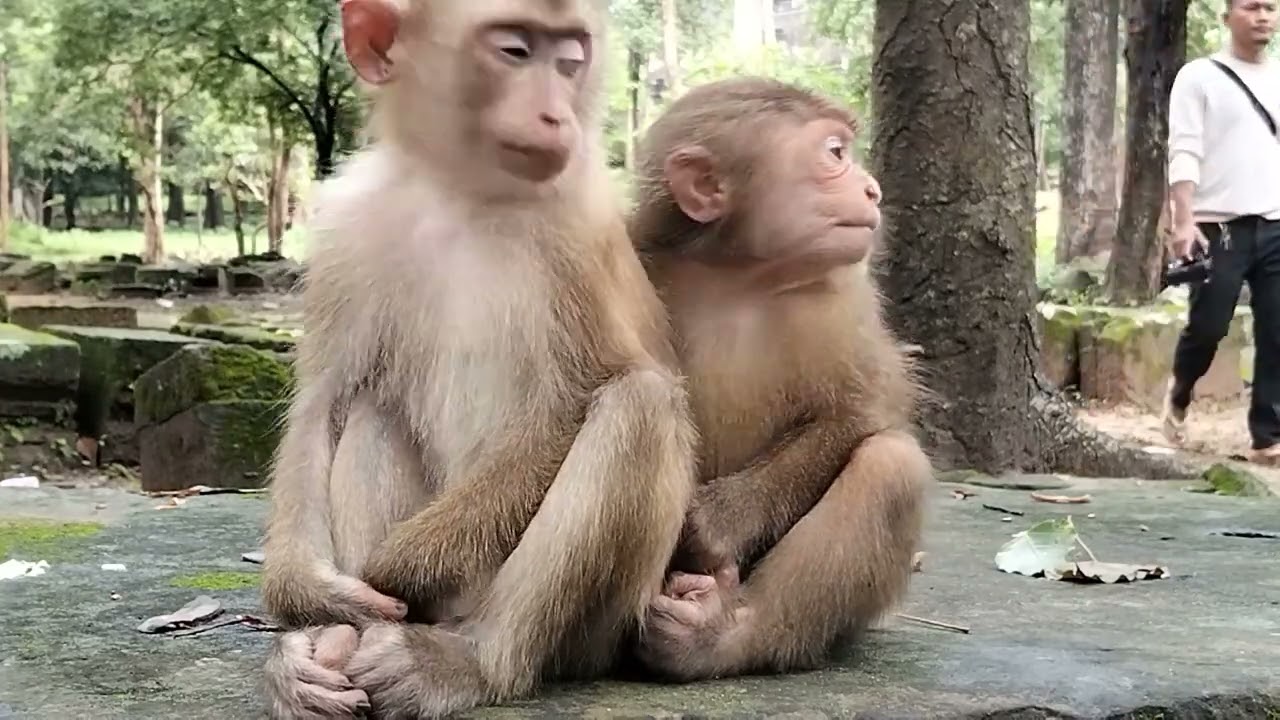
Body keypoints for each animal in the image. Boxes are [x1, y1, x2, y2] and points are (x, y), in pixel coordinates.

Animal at [258, 1, 698, 717]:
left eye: (570, 58)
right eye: (515, 50)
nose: (557, 115)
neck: (460, 191)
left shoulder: (577, 224)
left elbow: (579, 399)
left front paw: (401, 565)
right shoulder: (350, 227)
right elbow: (322, 403)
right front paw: (314, 592)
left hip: (599, 625)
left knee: (640, 402)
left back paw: (469, 660)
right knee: (372, 404)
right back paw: (331, 646)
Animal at [624, 76, 932, 683]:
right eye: (835, 155)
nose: (873, 191)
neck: (740, 277)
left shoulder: (842, 298)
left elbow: (865, 409)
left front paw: (720, 518)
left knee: (892, 465)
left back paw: (723, 636)